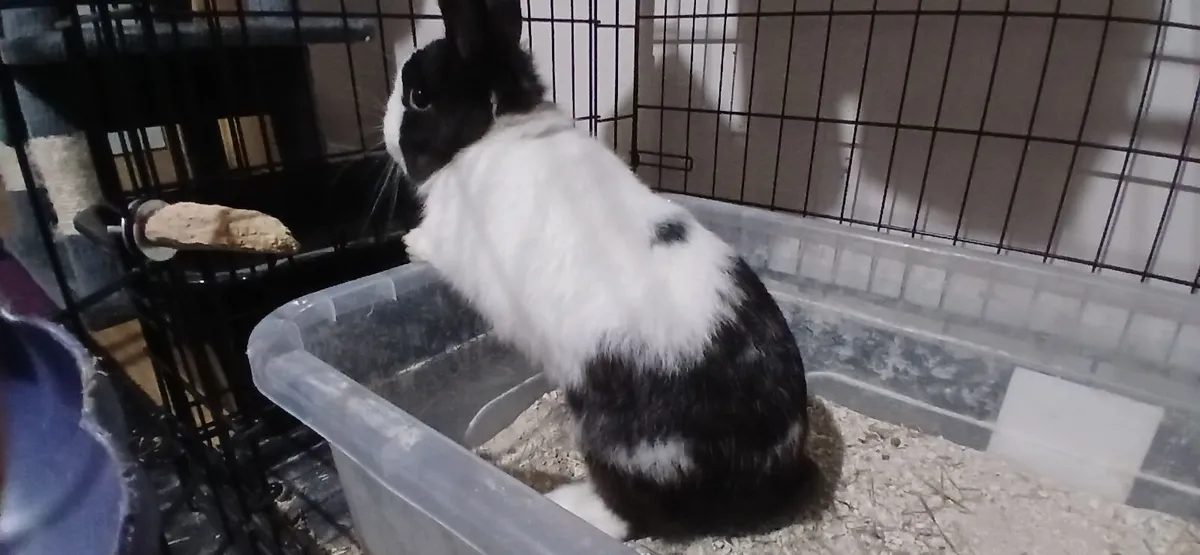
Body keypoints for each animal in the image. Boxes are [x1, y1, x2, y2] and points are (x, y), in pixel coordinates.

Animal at [383, 0, 816, 541]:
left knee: (635, 516)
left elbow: (432, 244)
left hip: (621, 445)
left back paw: (567, 505)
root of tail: (765, 470)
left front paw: (408, 245)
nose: (385, 135)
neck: (495, 131)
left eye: (418, 97)